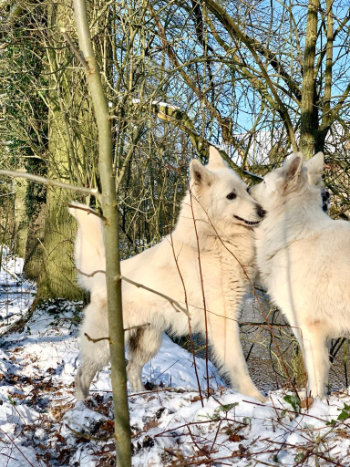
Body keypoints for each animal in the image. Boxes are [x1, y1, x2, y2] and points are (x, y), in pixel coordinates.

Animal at [68, 149, 266, 402]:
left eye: (246, 190)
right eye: (231, 196)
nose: (263, 212)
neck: (213, 241)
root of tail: (107, 274)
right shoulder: (222, 319)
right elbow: (239, 364)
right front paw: (257, 398)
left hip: (149, 341)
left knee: (132, 368)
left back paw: (140, 395)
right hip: (104, 345)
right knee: (82, 374)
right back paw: (82, 404)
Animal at [250, 154, 348, 398]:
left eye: (264, 182)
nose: (246, 188)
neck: (294, 235)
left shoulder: (312, 329)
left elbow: (317, 376)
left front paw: (315, 403)